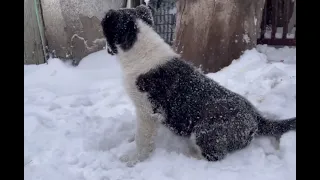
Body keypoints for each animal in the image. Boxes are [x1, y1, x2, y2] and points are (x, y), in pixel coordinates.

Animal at [101, 5, 296, 166]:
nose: (106, 50)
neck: (141, 47)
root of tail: (256, 117)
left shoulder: (147, 111)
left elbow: (142, 138)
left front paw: (133, 159)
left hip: (204, 131)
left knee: (214, 156)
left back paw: (187, 156)